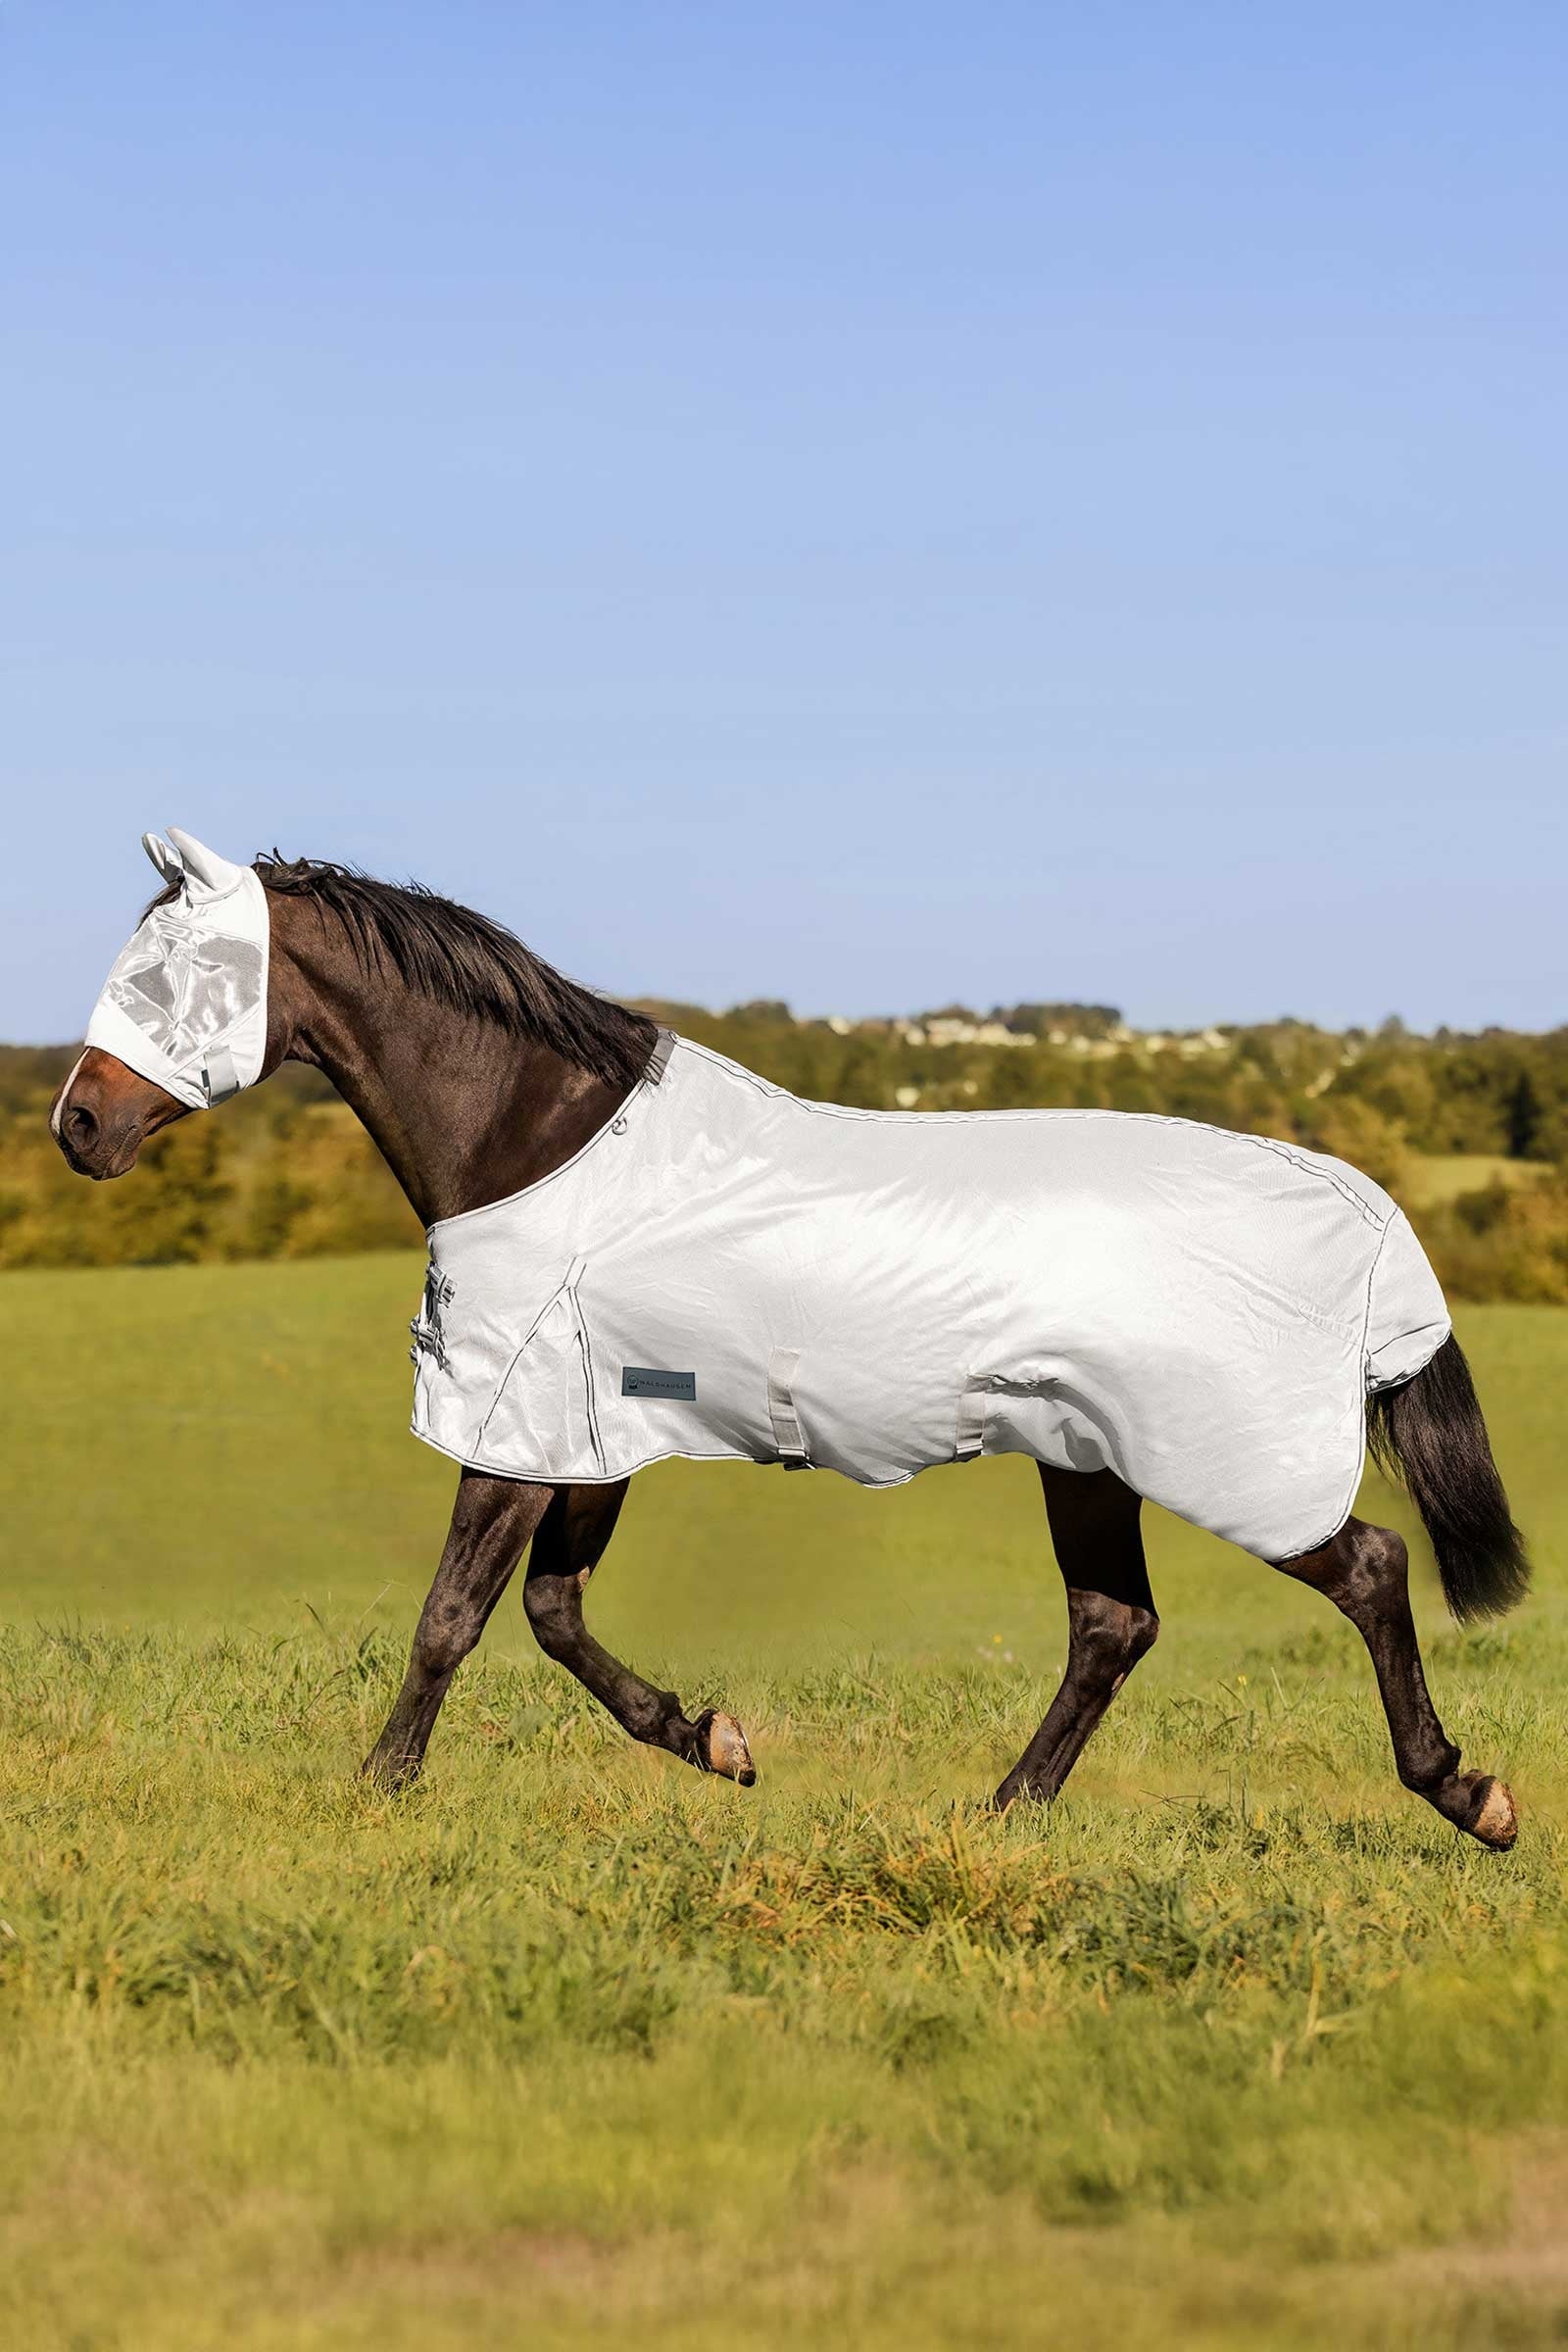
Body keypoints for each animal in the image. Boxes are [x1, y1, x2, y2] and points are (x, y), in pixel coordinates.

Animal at [52, 828, 1530, 1847]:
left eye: (173, 978)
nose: (77, 1125)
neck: (539, 1137)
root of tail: (1354, 1209)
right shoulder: (594, 1436)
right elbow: (550, 1614)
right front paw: (713, 1740)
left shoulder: (518, 1430)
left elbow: (451, 1618)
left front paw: (378, 1789)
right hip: (1087, 1462)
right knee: (1116, 1625)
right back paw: (1002, 1813)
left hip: (1215, 1460)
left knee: (1366, 1568)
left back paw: (1467, 1796)